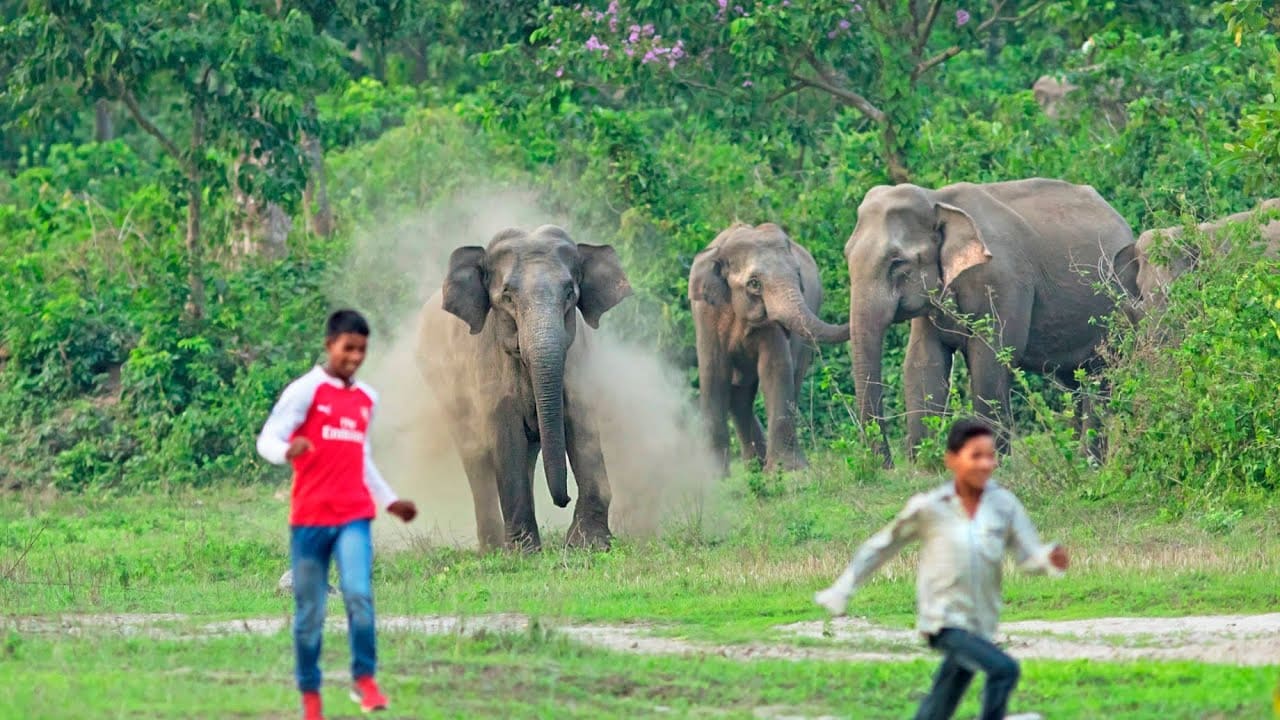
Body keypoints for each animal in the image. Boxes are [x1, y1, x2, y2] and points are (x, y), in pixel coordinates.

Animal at [415, 225, 632, 552]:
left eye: (570, 293)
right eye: (506, 296)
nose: (563, 500)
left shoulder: (577, 360)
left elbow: (582, 430)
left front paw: (589, 545)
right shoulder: (488, 369)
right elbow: (507, 439)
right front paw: (524, 554)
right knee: (476, 460)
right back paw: (492, 549)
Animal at [689, 222, 849, 474]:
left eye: (798, 275)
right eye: (754, 283)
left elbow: (775, 369)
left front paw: (788, 471)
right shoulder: (706, 313)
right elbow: (713, 372)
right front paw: (714, 475)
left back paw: (759, 467)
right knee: (739, 393)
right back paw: (755, 467)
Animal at [844, 178, 1139, 465]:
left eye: (897, 262)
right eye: (847, 255)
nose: (887, 466)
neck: (937, 198)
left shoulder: (1002, 282)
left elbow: (989, 359)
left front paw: (995, 465)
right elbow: (923, 362)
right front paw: (925, 468)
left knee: (1100, 378)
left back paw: (1089, 464)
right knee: (1074, 381)